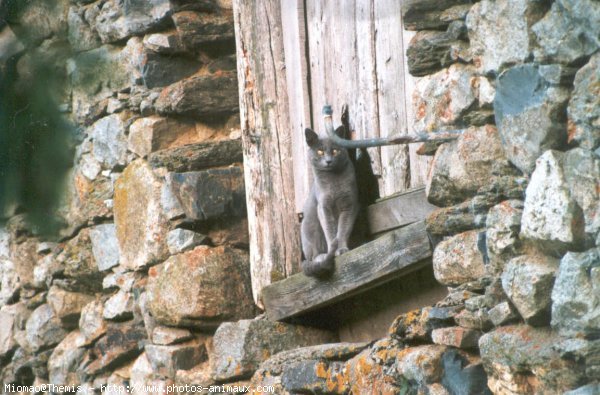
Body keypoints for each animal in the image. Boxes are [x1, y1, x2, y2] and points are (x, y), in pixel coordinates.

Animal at [302, 128, 358, 276]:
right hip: (308, 225)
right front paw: (335, 249)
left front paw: (342, 249)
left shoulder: (349, 205)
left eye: (335, 151)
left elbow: (343, 229)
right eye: (320, 151)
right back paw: (321, 257)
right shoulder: (323, 207)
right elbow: (330, 230)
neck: (334, 182)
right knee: (312, 256)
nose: (328, 161)